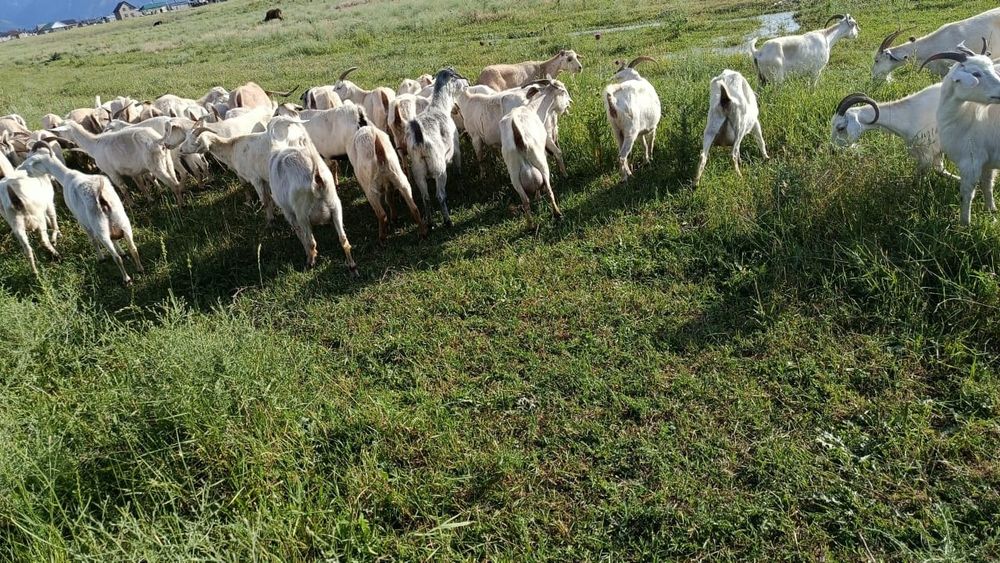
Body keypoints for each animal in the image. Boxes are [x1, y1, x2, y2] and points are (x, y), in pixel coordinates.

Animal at [21, 150, 142, 285]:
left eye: (31, 162)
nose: (23, 172)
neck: (66, 176)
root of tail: (101, 197)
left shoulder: (82, 220)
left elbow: (93, 240)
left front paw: (101, 258)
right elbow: (115, 241)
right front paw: (122, 252)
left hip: (101, 229)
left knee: (116, 257)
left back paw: (126, 279)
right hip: (122, 221)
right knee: (133, 248)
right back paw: (140, 269)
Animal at [266, 117, 357, 272]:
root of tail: (316, 176)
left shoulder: (288, 212)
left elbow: (300, 235)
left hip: (302, 213)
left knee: (311, 242)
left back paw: (310, 262)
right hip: (335, 206)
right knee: (344, 239)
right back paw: (352, 266)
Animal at [405, 68, 467, 228]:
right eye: (456, 76)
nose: (467, 81)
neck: (438, 107)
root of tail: (420, 140)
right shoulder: (456, 147)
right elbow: (458, 166)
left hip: (418, 171)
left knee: (425, 197)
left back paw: (430, 223)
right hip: (439, 169)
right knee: (439, 196)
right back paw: (448, 221)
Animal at [500, 79, 567, 224]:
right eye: (563, 91)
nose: (569, 102)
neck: (533, 108)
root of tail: (517, 133)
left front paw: (537, 197)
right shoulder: (545, 141)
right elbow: (557, 153)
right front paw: (565, 175)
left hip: (514, 174)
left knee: (525, 200)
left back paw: (531, 225)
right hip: (540, 162)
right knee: (549, 190)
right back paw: (557, 213)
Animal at [921, 45, 1000, 225]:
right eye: (976, 74)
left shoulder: (970, 162)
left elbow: (966, 195)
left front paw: (964, 224)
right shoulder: (987, 162)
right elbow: (987, 185)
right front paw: (992, 211)